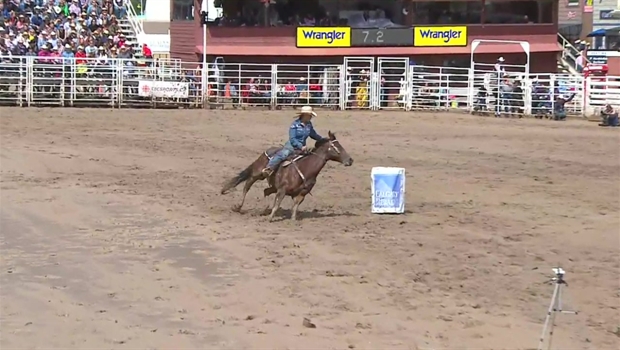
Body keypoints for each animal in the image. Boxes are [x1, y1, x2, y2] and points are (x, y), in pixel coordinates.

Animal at [220, 131, 352, 219]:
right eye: (337, 147)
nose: (350, 160)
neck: (306, 168)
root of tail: (267, 150)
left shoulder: (300, 193)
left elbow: (295, 206)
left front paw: (292, 220)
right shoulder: (282, 190)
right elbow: (277, 204)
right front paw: (270, 218)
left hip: (273, 186)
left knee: (265, 191)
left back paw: (264, 209)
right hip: (257, 174)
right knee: (247, 185)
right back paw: (239, 206)